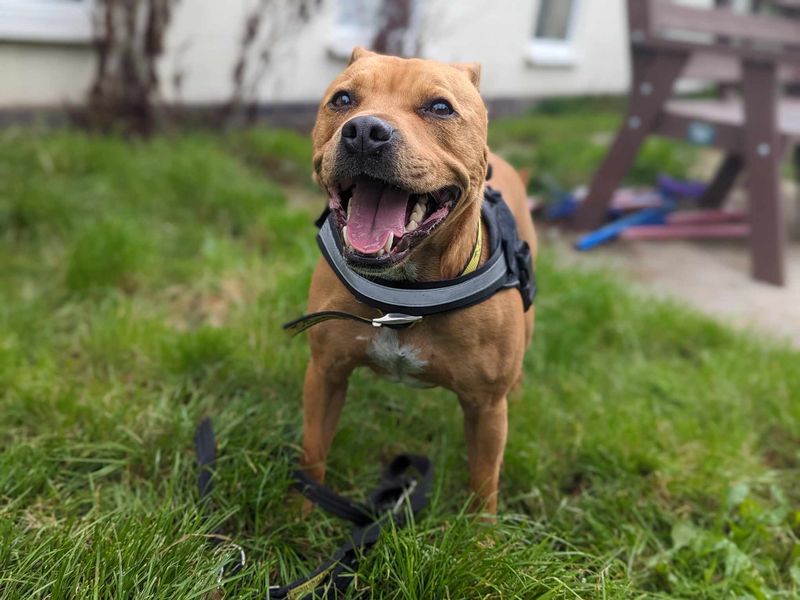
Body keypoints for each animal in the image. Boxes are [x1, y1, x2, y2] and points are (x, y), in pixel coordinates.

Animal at [300, 48, 536, 516]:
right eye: (342, 99)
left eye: (440, 108)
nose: (365, 132)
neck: (404, 294)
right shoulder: (325, 374)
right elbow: (312, 457)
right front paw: (299, 517)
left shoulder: (486, 409)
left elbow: (484, 485)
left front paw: (483, 534)